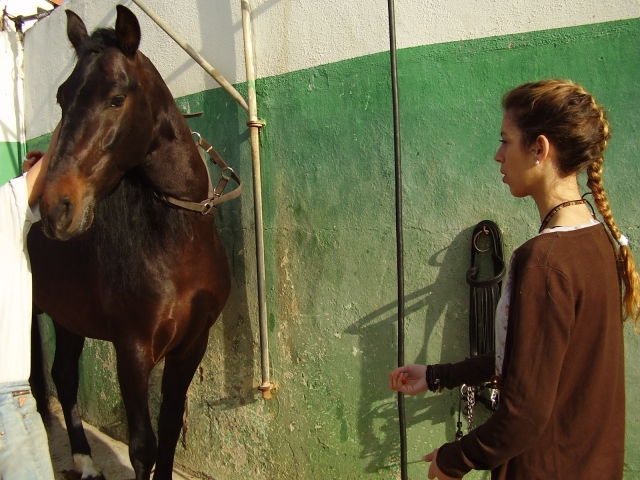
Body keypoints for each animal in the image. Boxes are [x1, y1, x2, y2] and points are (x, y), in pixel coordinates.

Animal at [27, 5, 232, 479]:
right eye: (61, 99)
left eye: (116, 98)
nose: (55, 208)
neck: (176, 248)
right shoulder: (133, 350)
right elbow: (143, 447)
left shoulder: (192, 344)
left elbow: (170, 428)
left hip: (66, 316)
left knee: (63, 376)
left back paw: (85, 462)